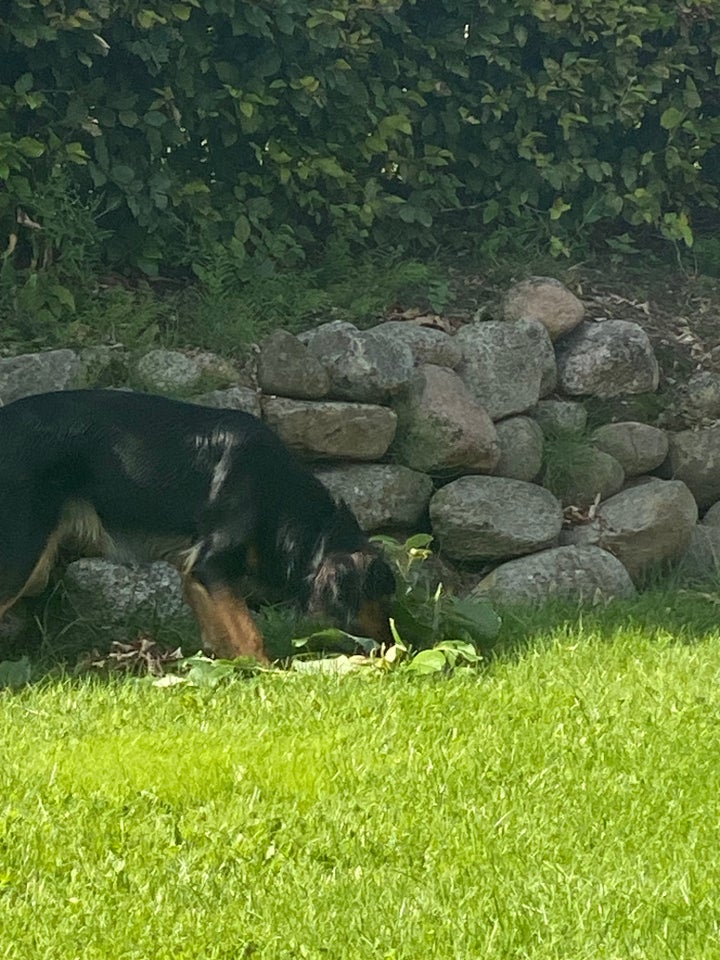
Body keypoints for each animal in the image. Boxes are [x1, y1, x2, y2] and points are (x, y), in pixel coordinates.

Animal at [0, 388, 396, 660]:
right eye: (382, 595)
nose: (396, 646)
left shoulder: (193, 570)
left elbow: (219, 633)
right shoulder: (212, 563)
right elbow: (250, 633)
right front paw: (270, 674)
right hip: (23, 555)